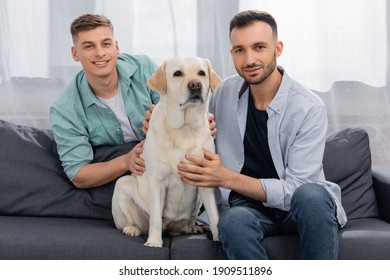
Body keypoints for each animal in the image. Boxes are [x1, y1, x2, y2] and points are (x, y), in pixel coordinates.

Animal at [112, 57, 222, 247]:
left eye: (201, 73)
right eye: (177, 73)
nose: (195, 85)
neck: (185, 128)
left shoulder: (204, 180)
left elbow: (214, 217)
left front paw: (220, 239)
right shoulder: (157, 182)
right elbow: (155, 218)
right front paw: (154, 242)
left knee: (190, 220)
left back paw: (193, 227)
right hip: (122, 184)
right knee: (138, 222)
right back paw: (132, 229)